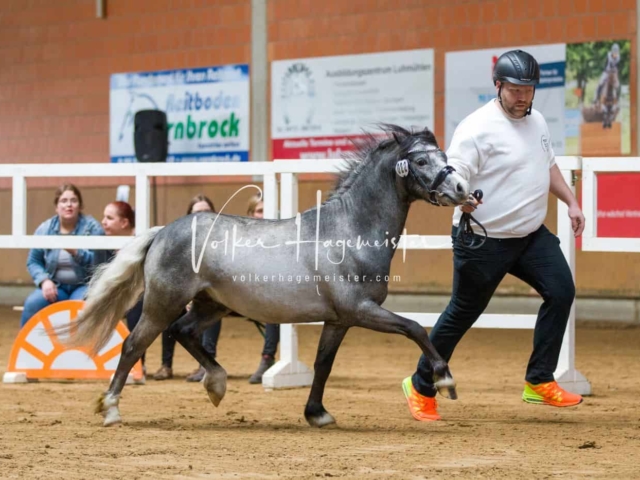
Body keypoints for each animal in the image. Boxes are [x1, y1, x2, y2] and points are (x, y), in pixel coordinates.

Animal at [63, 124, 470, 428]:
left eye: (445, 157)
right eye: (421, 159)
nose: (463, 189)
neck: (349, 231)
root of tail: (162, 231)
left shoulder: (339, 319)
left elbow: (323, 364)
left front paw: (316, 414)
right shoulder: (360, 310)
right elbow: (415, 328)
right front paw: (445, 379)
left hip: (211, 306)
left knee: (183, 332)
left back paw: (216, 385)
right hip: (163, 303)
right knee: (134, 345)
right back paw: (111, 409)